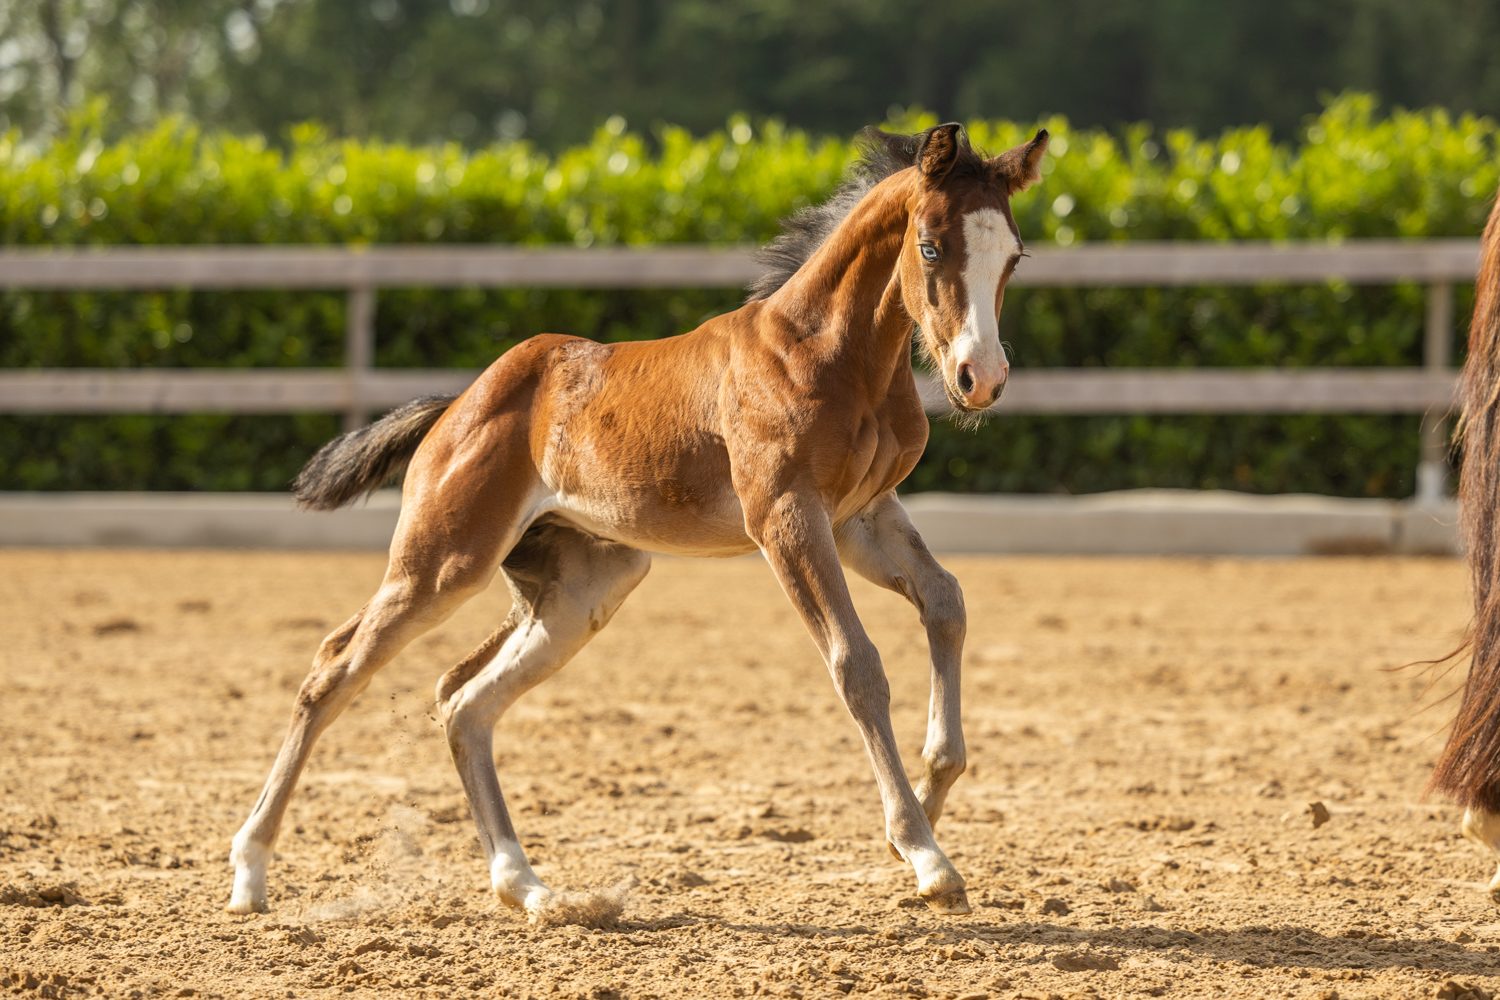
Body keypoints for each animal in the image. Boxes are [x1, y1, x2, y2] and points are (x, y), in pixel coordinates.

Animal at [227, 121, 1050, 922]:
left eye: (1013, 257)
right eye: (931, 246)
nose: (981, 378)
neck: (830, 355)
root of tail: (455, 407)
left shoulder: (861, 518)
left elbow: (946, 602)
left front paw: (934, 791)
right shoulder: (785, 514)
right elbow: (858, 665)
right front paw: (925, 854)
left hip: (587, 583)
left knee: (462, 700)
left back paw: (531, 889)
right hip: (444, 560)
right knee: (335, 668)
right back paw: (251, 872)